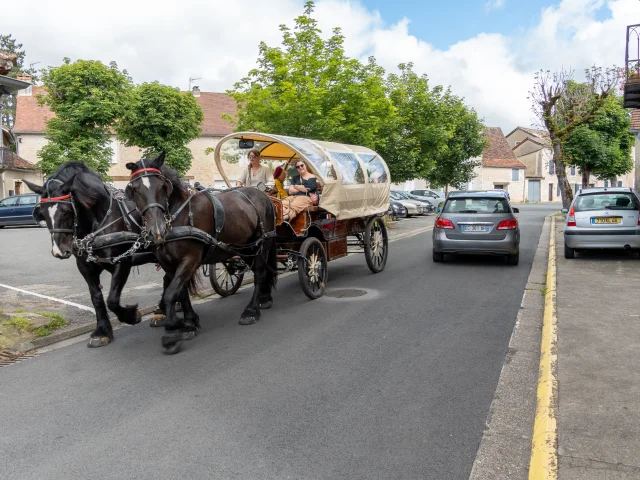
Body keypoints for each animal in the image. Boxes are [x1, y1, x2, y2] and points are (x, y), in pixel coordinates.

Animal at [24, 163, 192, 346]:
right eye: (42, 212)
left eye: (67, 209)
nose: (59, 251)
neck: (99, 220)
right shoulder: (85, 266)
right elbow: (96, 298)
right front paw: (101, 331)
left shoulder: (122, 262)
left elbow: (112, 300)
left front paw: (131, 316)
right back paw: (162, 310)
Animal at [125, 153, 278, 352]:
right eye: (135, 189)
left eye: (162, 186)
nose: (156, 231)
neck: (178, 216)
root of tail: (262, 194)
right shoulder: (167, 263)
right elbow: (180, 292)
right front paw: (189, 323)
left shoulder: (190, 259)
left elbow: (170, 293)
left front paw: (172, 332)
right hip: (245, 248)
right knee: (261, 271)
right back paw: (264, 298)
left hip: (263, 244)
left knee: (259, 273)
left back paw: (251, 310)